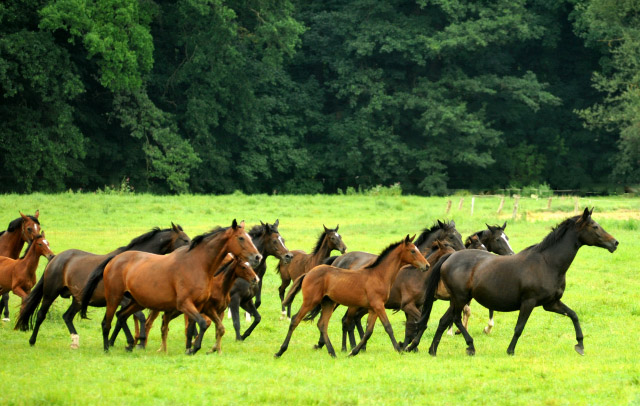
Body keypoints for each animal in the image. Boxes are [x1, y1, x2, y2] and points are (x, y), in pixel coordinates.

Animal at [14, 222, 190, 348]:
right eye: (185, 239)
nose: (190, 248)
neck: (132, 262)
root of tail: (55, 259)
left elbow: (121, 319)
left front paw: (114, 342)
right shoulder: (122, 299)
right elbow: (134, 317)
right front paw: (136, 341)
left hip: (78, 300)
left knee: (67, 316)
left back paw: (75, 341)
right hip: (50, 294)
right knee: (41, 314)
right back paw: (32, 341)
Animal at [85, 220, 262, 354]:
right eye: (241, 238)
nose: (257, 257)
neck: (197, 264)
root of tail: (114, 259)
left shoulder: (198, 306)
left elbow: (192, 328)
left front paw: (189, 349)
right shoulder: (185, 304)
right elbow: (202, 324)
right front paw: (194, 349)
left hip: (137, 302)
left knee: (121, 316)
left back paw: (130, 344)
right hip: (114, 298)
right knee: (107, 322)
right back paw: (107, 348)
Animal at [276, 235, 430, 358]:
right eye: (413, 251)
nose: (427, 266)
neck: (379, 275)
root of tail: (308, 273)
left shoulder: (373, 309)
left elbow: (368, 332)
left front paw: (353, 351)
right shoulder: (378, 306)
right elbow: (388, 327)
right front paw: (399, 350)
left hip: (328, 303)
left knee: (322, 324)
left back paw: (332, 352)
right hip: (311, 301)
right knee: (295, 320)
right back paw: (280, 351)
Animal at [404, 209, 620, 356]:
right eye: (595, 227)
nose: (615, 243)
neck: (547, 262)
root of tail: (449, 257)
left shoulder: (551, 304)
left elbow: (574, 315)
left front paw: (580, 345)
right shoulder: (529, 302)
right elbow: (519, 328)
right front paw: (510, 350)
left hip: (457, 299)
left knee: (444, 320)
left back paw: (432, 350)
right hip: (459, 298)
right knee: (455, 319)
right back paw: (469, 346)